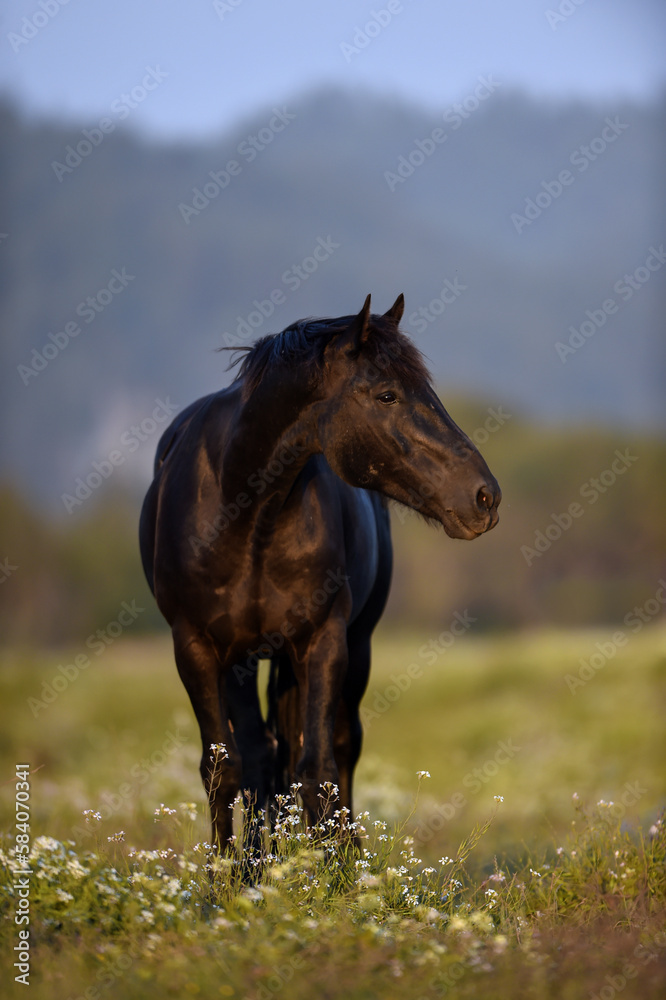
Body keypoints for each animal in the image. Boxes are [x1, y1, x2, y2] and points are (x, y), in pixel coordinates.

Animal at [139, 294, 501, 853]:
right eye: (387, 394)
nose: (485, 497)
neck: (244, 513)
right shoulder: (196, 647)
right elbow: (223, 769)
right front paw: (227, 874)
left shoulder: (322, 639)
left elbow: (319, 768)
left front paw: (335, 866)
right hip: (242, 661)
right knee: (260, 753)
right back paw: (257, 862)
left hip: (354, 645)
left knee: (337, 746)